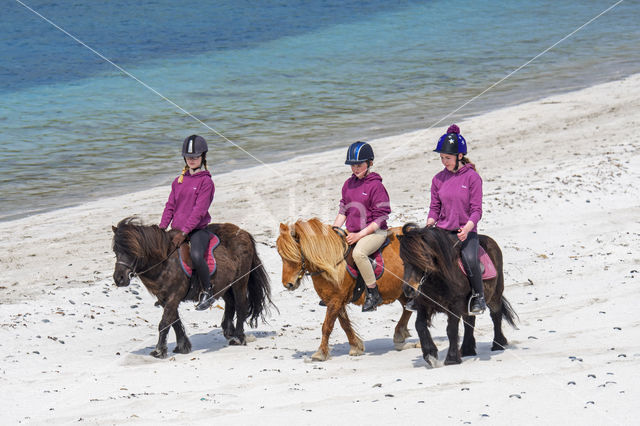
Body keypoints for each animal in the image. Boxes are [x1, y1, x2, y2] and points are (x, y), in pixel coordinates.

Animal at [110, 218, 276, 358]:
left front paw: (159, 350)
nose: (119, 279)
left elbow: (164, 323)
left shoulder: (174, 296)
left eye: (133, 250)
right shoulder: (165, 298)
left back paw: (238, 338)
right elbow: (174, 321)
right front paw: (182, 346)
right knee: (230, 303)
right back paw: (229, 331)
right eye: (115, 251)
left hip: (239, 281)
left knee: (241, 304)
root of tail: (243, 232)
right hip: (223, 284)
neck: (165, 262)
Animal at [276, 218, 416, 362]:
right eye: (280, 255)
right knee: (407, 308)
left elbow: (327, 326)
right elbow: (345, 324)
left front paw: (320, 353)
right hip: (400, 290)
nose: (288, 284)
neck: (331, 262)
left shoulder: (336, 300)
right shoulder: (336, 300)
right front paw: (356, 346)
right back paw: (399, 335)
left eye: (295, 254)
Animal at [398, 225, 516, 368]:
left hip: (495, 295)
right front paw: (430, 355)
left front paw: (452, 359)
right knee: (469, 321)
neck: (438, 279)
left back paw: (497, 345)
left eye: (423, 257)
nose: (409, 289)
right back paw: (467, 349)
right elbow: (419, 325)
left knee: (496, 316)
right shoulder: (423, 304)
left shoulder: (455, 305)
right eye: (402, 259)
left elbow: (451, 329)